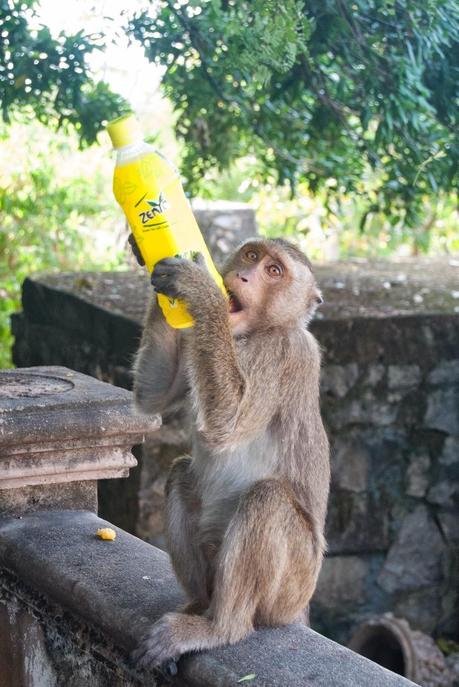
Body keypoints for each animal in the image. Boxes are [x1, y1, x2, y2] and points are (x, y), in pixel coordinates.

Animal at [131, 238, 328, 672]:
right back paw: (199, 605)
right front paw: (146, 255)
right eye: (252, 256)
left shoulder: (283, 353)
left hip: (291, 587)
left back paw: (220, 627)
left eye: (274, 271)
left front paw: (202, 291)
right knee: (181, 474)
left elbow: (227, 422)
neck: (250, 335)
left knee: (268, 499)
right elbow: (154, 396)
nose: (242, 276)